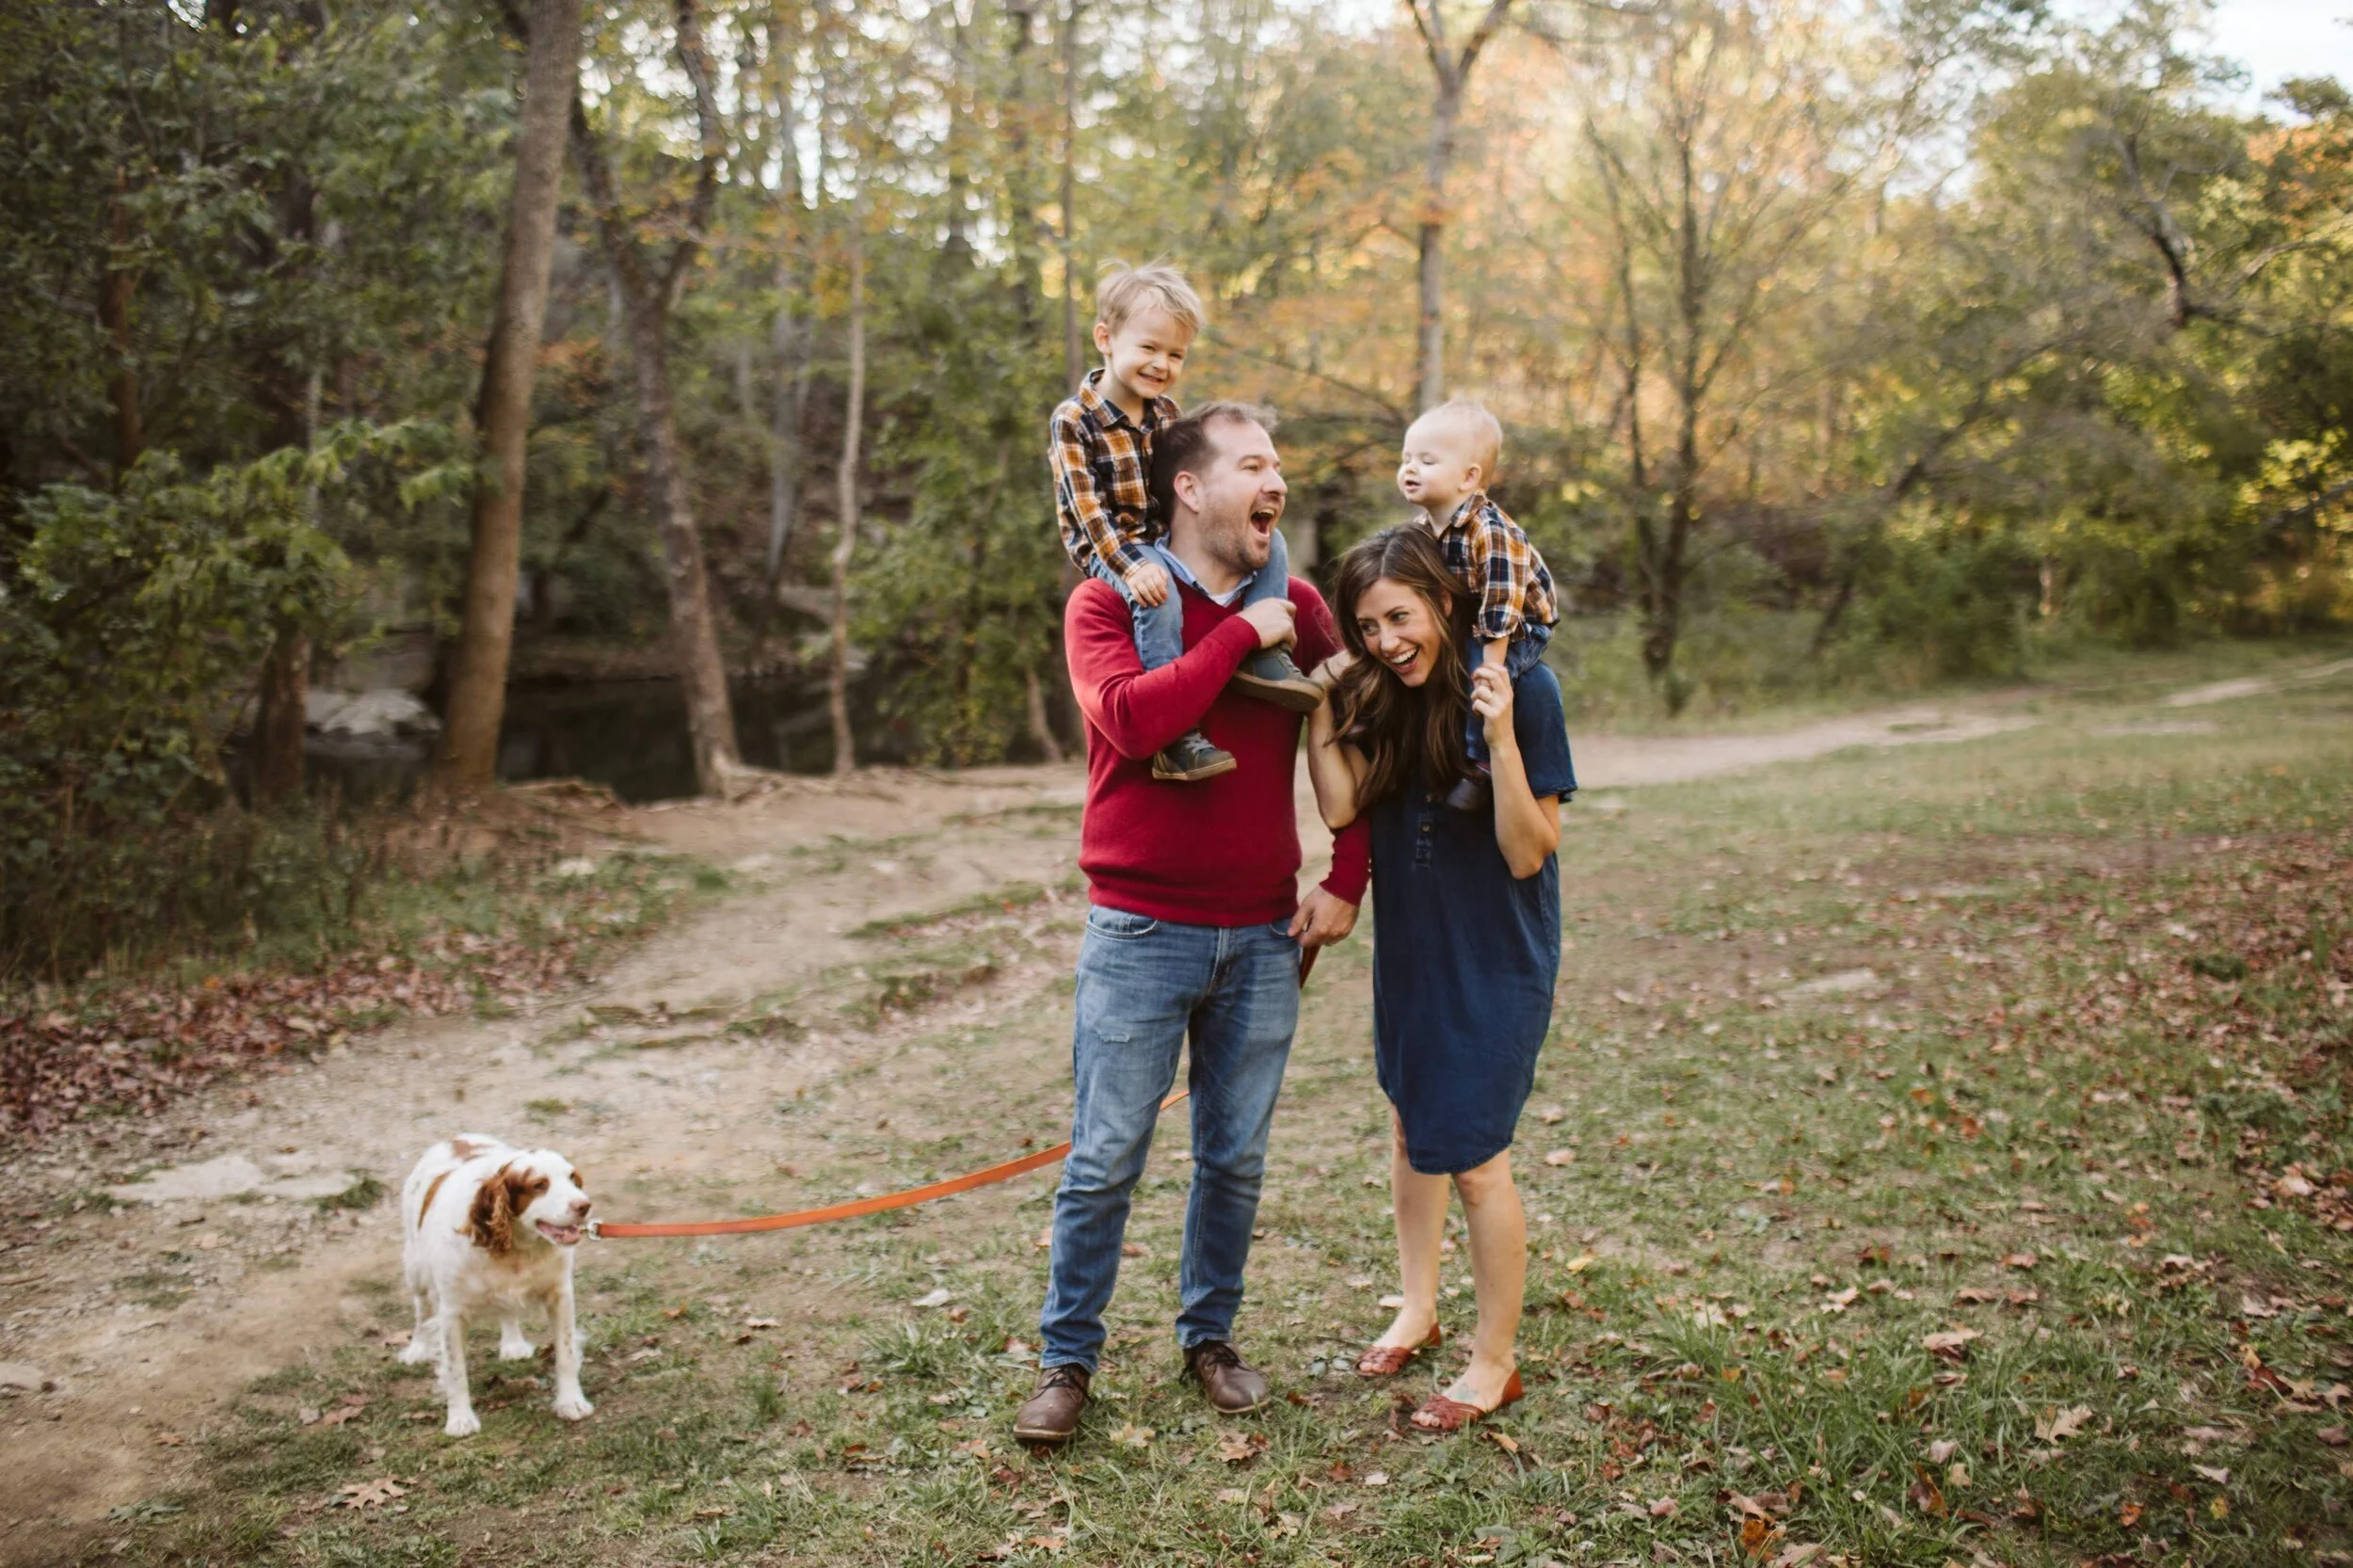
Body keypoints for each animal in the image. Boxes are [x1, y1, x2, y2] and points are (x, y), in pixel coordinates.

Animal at [402, 1129, 598, 1431]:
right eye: (539, 1185)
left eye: (573, 1178)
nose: (584, 1205)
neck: (513, 1249)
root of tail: (458, 1138)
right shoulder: (451, 1312)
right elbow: (455, 1370)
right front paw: (460, 1419)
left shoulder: (560, 1294)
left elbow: (565, 1354)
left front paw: (571, 1402)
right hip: (416, 1269)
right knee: (420, 1310)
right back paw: (417, 1349)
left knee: (507, 1312)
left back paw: (513, 1344)